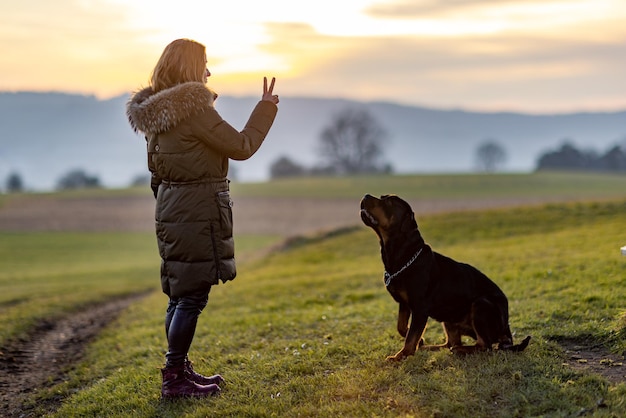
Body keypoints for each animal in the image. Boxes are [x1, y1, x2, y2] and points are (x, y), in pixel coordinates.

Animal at [358, 194, 528, 360]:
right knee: (451, 342)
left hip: (481, 304)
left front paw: (401, 355)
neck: (405, 255)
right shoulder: (404, 303)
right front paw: (419, 342)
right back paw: (430, 347)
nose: (366, 196)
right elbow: (401, 327)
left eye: (389, 202)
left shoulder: (420, 308)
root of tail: (506, 330)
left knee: (484, 345)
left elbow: (411, 336)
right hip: (449, 318)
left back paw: (460, 350)